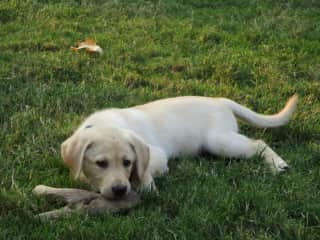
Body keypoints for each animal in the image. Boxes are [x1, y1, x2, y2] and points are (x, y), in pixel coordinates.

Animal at [60, 95, 298, 199]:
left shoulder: (157, 156)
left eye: (128, 162)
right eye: (101, 163)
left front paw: (145, 184)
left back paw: (278, 164)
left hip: (219, 141)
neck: (104, 123)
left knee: (258, 143)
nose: (120, 190)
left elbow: (144, 170)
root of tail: (221, 100)